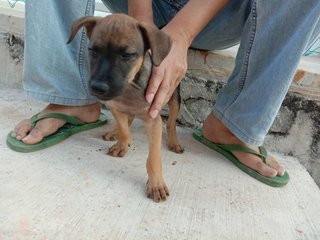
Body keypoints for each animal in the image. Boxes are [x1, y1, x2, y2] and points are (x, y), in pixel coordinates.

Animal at [67, 13, 182, 202]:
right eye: (92, 51)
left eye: (127, 55)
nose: (98, 88)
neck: (129, 89)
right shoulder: (116, 107)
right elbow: (123, 129)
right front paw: (122, 143)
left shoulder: (153, 121)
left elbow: (153, 158)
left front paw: (156, 184)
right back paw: (114, 133)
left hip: (174, 97)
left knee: (171, 123)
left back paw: (174, 142)